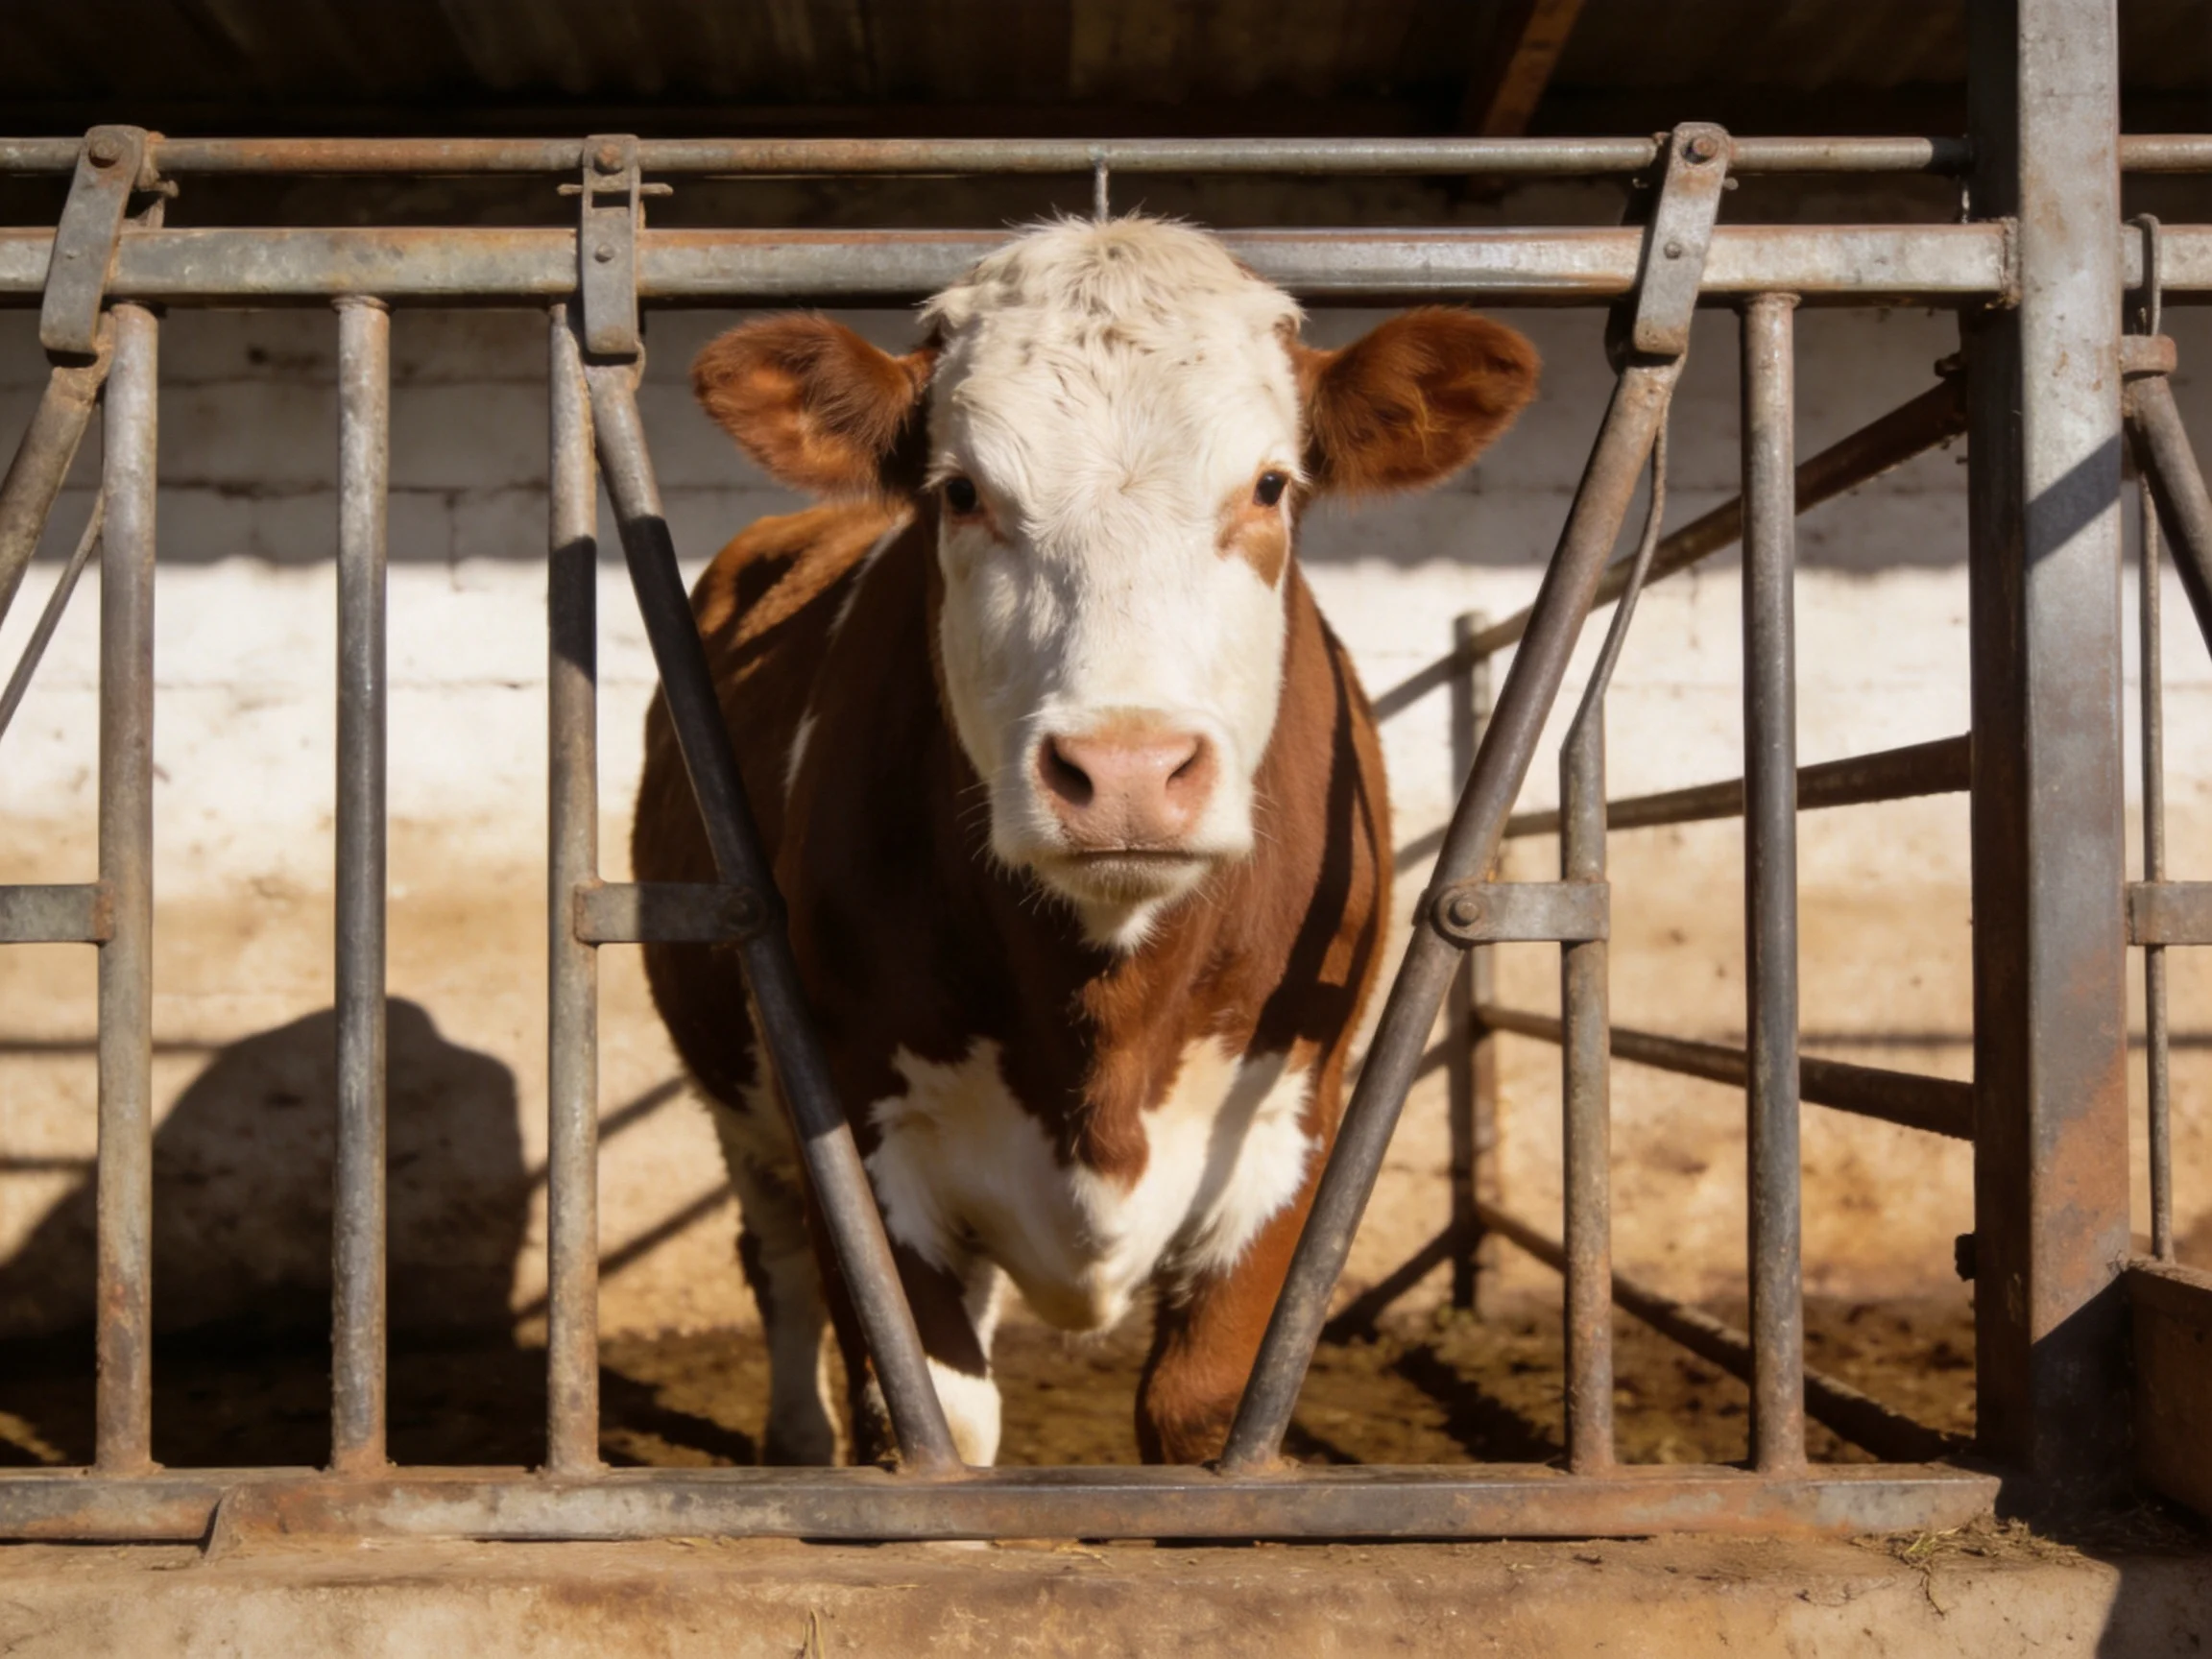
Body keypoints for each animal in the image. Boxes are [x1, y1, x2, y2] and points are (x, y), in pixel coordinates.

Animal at [633, 216, 1538, 1467]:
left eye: (1270, 484)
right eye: (961, 491)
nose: (1126, 773)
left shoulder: (1292, 1117)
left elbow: (1203, 1405)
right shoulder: (848, 1122)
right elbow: (933, 1418)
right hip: (736, 1094)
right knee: (773, 1265)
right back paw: (797, 1439)